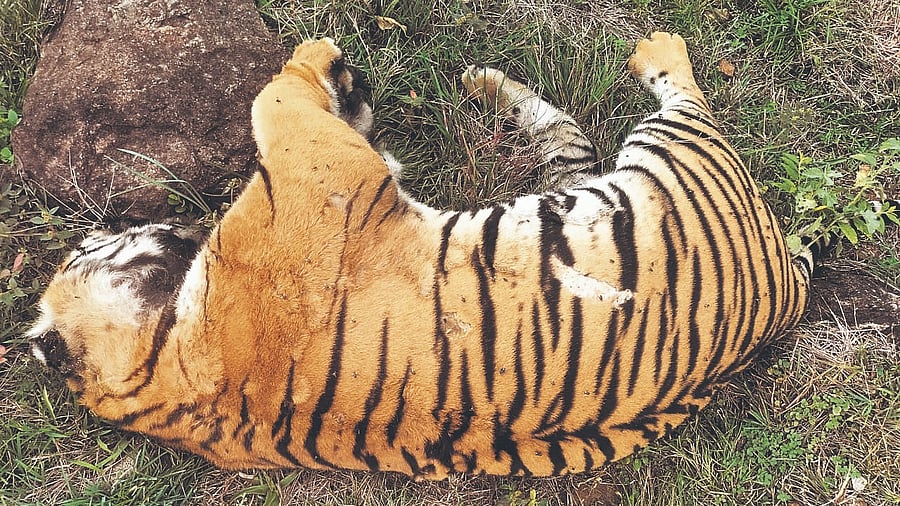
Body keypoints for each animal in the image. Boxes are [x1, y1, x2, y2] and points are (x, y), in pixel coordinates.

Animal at [26, 33, 824, 478]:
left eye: (89, 243)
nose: (141, 227)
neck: (163, 378)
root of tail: (784, 290)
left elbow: (303, 105)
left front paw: (345, 81)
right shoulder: (321, 167)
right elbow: (275, 96)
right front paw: (319, 59)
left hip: (583, 182)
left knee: (564, 137)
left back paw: (482, 83)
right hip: (672, 155)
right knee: (681, 94)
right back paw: (654, 45)